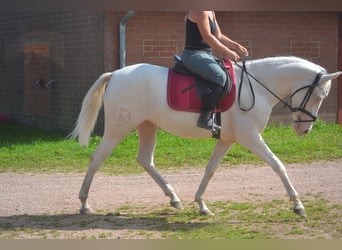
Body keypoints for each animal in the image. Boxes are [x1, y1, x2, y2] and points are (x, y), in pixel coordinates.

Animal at [69, 56, 340, 217]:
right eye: (319, 96)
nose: (304, 130)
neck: (257, 87)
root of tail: (115, 74)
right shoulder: (250, 138)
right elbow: (278, 165)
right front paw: (298, 205)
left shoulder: (226, 140)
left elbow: (210, 170)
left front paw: (201, 204)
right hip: (118, 128)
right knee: (97, 159)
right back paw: (84, 203)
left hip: (148, 126)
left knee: (145, 160)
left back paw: (174, 199)